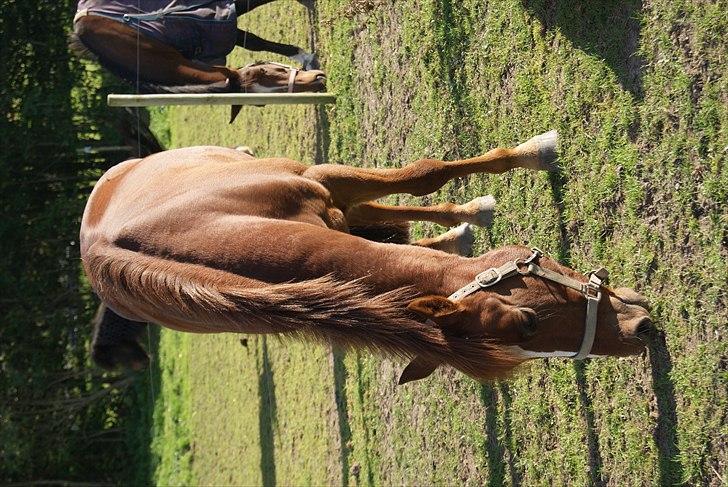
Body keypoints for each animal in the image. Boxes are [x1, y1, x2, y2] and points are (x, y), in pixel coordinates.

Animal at [79, 132, 656, 384]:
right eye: (528, 327)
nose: (641, 329)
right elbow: (414, 191)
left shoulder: (321, 177)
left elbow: (425, 173)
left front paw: (535, 152)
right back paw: (461, 228)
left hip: (326, 194)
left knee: (379, 209)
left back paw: (467, 217)